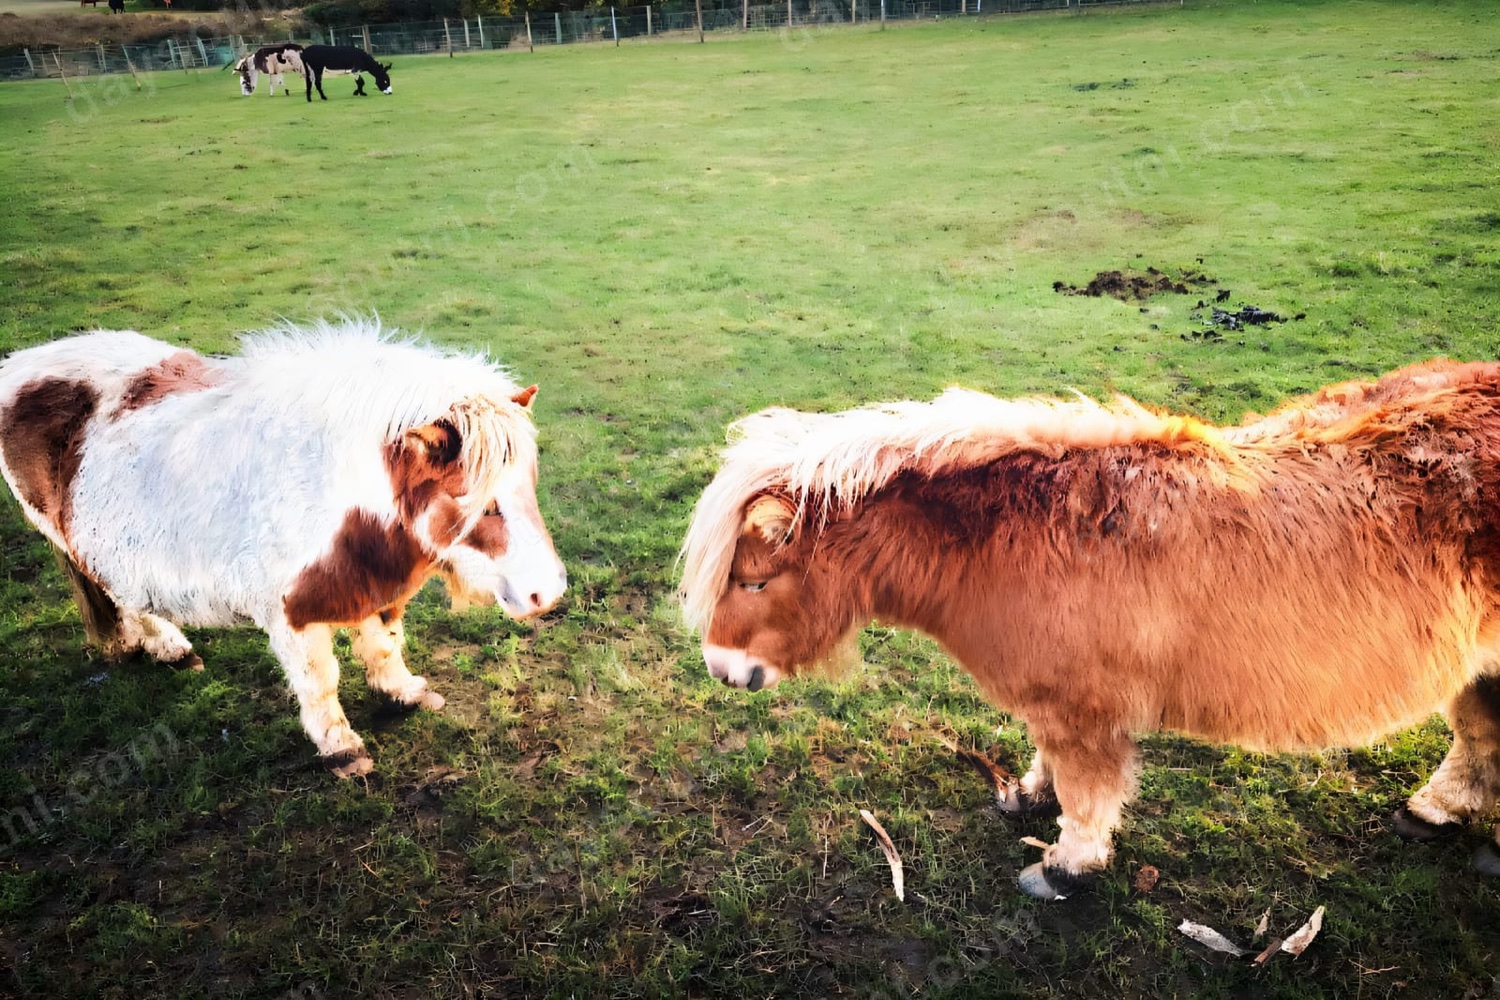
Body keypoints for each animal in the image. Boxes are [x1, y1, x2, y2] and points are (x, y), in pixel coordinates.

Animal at [0, 318, 567, 777]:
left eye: (529, 485)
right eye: (481, 504)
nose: (549, 592)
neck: (333, 488)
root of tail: (20, 364)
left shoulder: (371, 583)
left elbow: (384, 644)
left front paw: (405, 692)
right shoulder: (290, 611)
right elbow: (319, 679)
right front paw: (342, 748)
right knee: (117, 595)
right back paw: (170, 647)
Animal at [679, 359, 1500, 899]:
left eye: (755, 581)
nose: (722, 669)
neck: (1019, 538)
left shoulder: (1085, 714)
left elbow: (1087, 791)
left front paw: (1064, 867)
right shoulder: (1055, 705)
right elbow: (1050, 766)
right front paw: (1027, 797)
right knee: (1479, 735)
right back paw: (1435, 812)